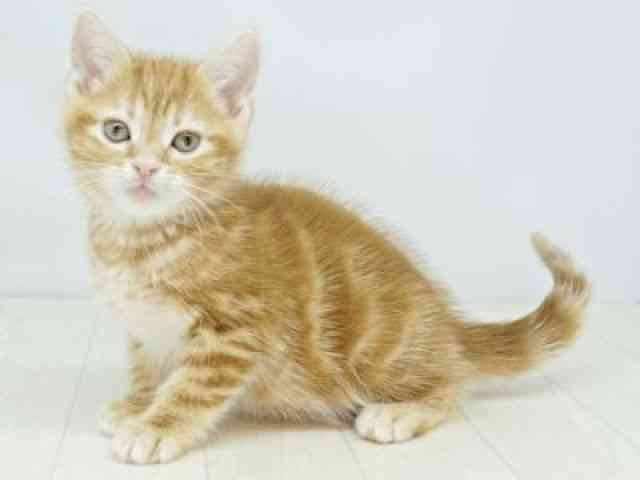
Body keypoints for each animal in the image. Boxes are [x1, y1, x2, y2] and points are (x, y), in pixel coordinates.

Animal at [64, 13, 590, 465]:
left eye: (186, 142)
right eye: (117, 130)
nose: (145, 168)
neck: (142, 240)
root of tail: (448, 326)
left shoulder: (239, 328)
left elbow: (194, 386)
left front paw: (158, 427)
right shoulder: (144, 327)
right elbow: (147, 366)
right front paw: (137, 404)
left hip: (377, 351)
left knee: (451, 383)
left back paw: (401, 410)